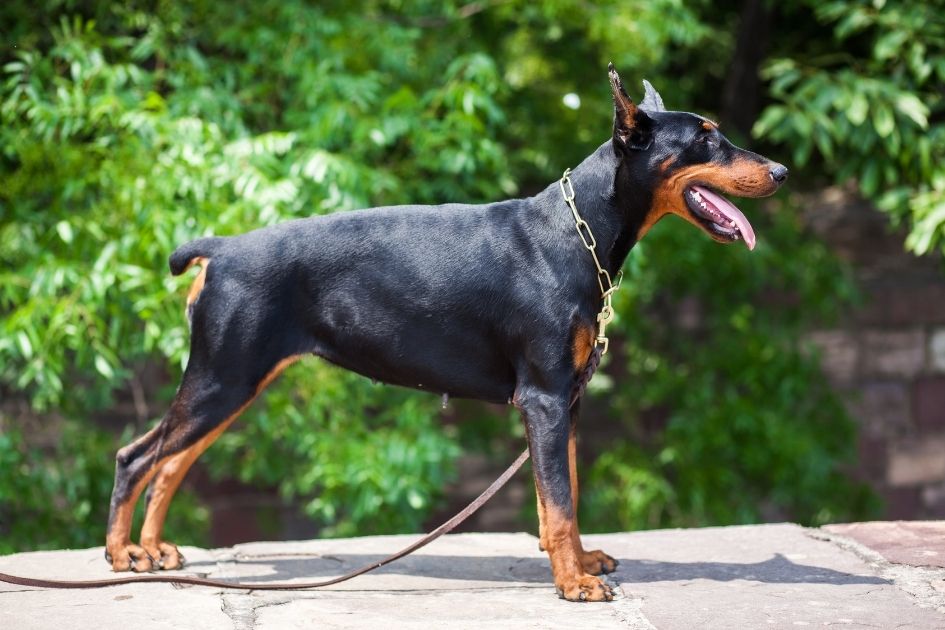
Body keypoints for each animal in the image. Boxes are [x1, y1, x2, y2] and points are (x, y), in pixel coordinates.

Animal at [103, 63, 784, 604]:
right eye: (705, 140)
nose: (779, 170)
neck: (582, 230)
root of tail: (221, 248)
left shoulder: (568, 397)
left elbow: (565, 490)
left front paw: (581, 562)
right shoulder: (543, 397)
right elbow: (559, 503)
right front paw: (574, 584)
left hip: (232, 380)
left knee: (169, 462)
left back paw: (154, 549)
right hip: (224, 373)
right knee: (137, 456)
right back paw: (122, 553)